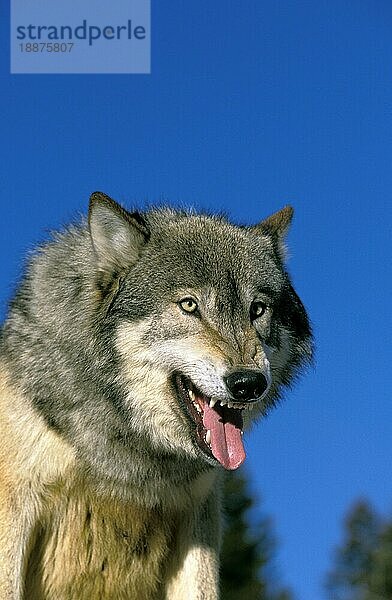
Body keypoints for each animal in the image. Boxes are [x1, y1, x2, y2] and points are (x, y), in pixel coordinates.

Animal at [0, 193, 312, 600]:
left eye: (257, 309)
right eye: (189, 305)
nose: (248, 383)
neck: (133, 463)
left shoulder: (198, 523)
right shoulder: (16, 507)